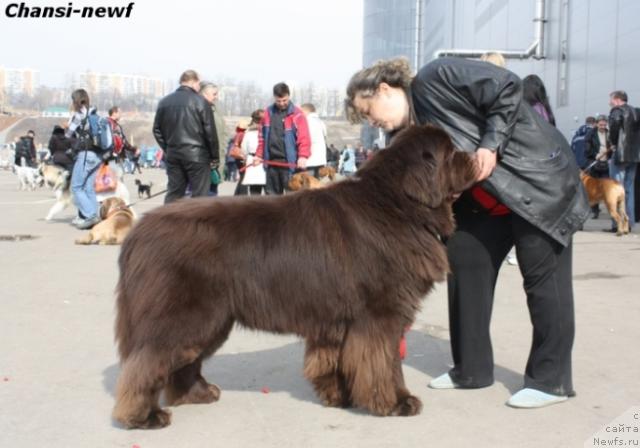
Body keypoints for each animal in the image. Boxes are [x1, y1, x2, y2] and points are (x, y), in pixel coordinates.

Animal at [112, 124, 478, 428]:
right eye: (451, 153)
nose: (477, 156)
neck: (397, 206)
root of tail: (138, 233)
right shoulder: (378, 315)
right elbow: (383, 363)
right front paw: (397, 402)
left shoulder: (338, 319)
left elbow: (336, 361)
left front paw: (339, 397)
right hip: (185, 315)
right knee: (147, 362)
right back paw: (143, 416)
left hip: (211, 320)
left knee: (181, 361)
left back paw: (197, 394)